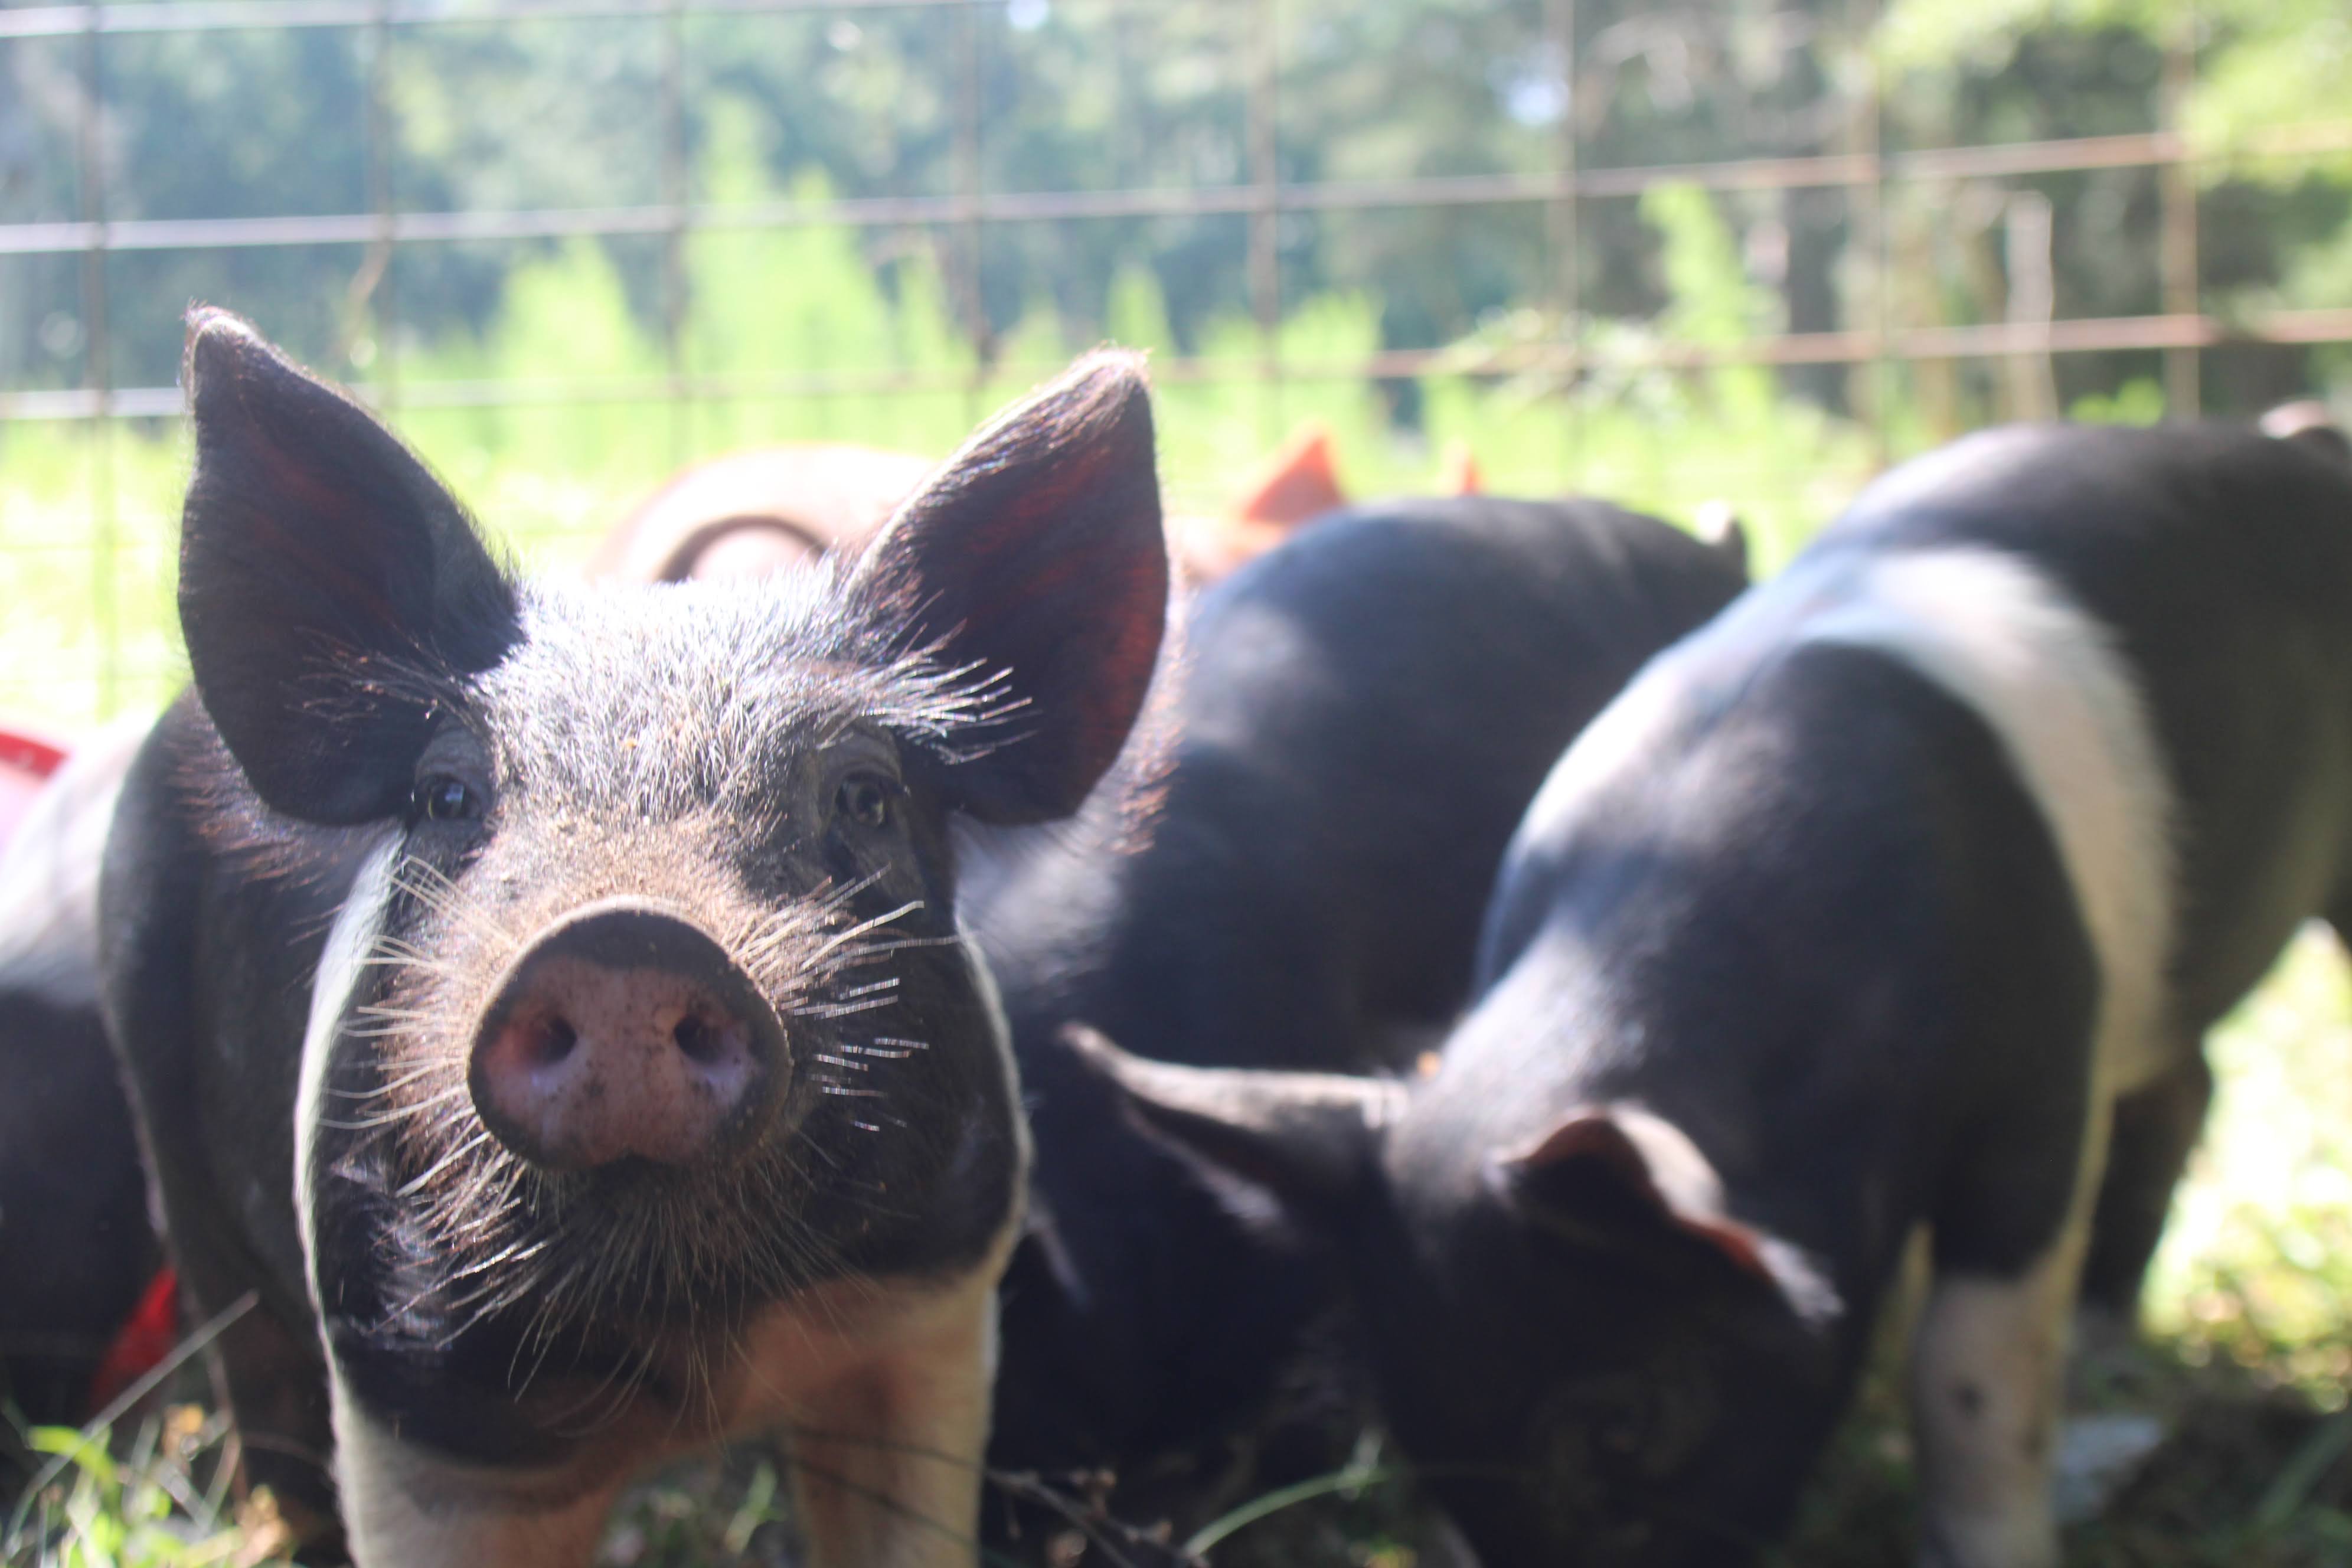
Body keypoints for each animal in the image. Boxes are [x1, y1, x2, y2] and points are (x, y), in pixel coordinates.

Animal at [96, 309, 1168, 1565]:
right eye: (448, 797)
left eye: (863, 795)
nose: (628, 939)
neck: (702, 1339)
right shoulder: (411, 1408)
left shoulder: (929, 1318)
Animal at [1083, 417, 2352, 1567]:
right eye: (1417, 1430)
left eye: (1625, 1424)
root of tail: (2306, 446)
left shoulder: (2037, 1082)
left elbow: (1972, 1368)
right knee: (2190, 1082)